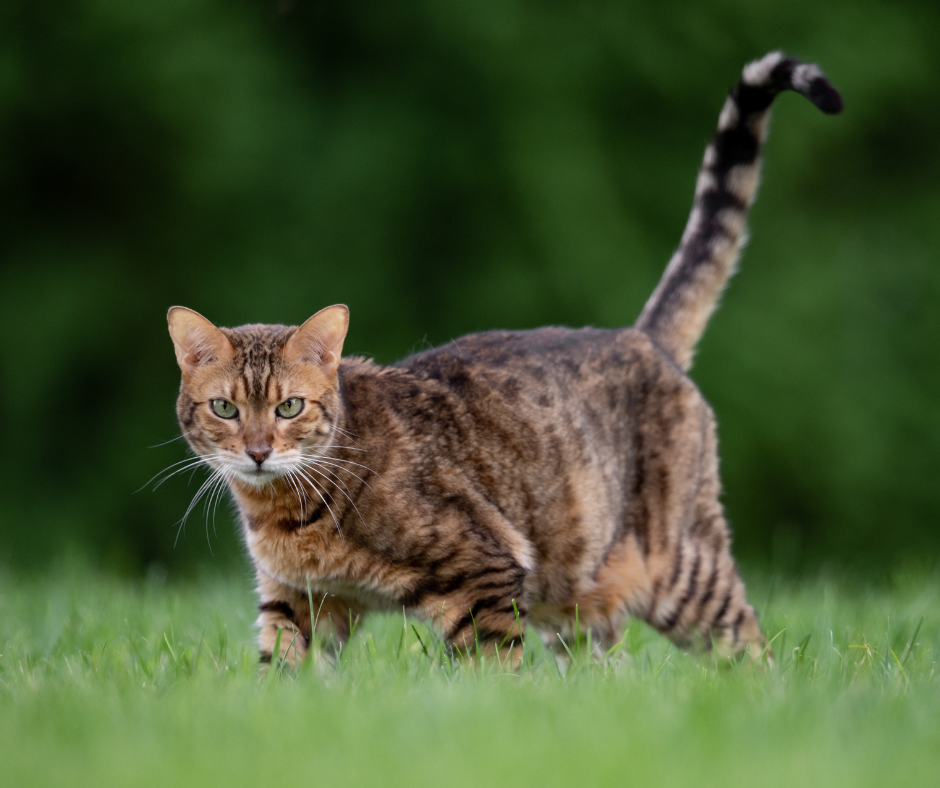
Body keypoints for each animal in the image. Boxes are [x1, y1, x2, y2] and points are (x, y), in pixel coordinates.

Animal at [165, 50, 840, 664]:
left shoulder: (485, 572)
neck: (286, 514)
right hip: (577, 600)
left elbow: (491, 676)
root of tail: (640, 335)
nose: (257, 452)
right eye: (225, 408)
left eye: (289, 408)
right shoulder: (295, 601)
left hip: (680, 568)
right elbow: (282, 676)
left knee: (751, 647)